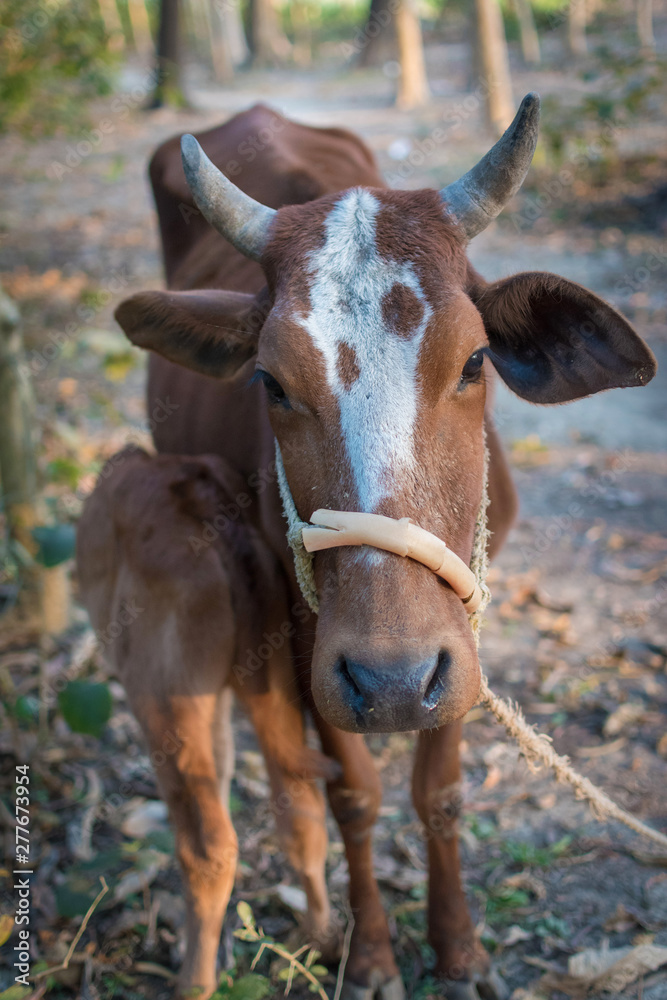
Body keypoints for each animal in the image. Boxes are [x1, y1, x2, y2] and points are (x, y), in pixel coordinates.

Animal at [79, 99, 656, 1000]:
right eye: (271, 383)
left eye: (474, 359)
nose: (390, 681)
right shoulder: (311, 632)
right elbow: (354, 794)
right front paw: (375, 955)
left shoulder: (461, 622)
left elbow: (441, 792)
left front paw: (458, 951)